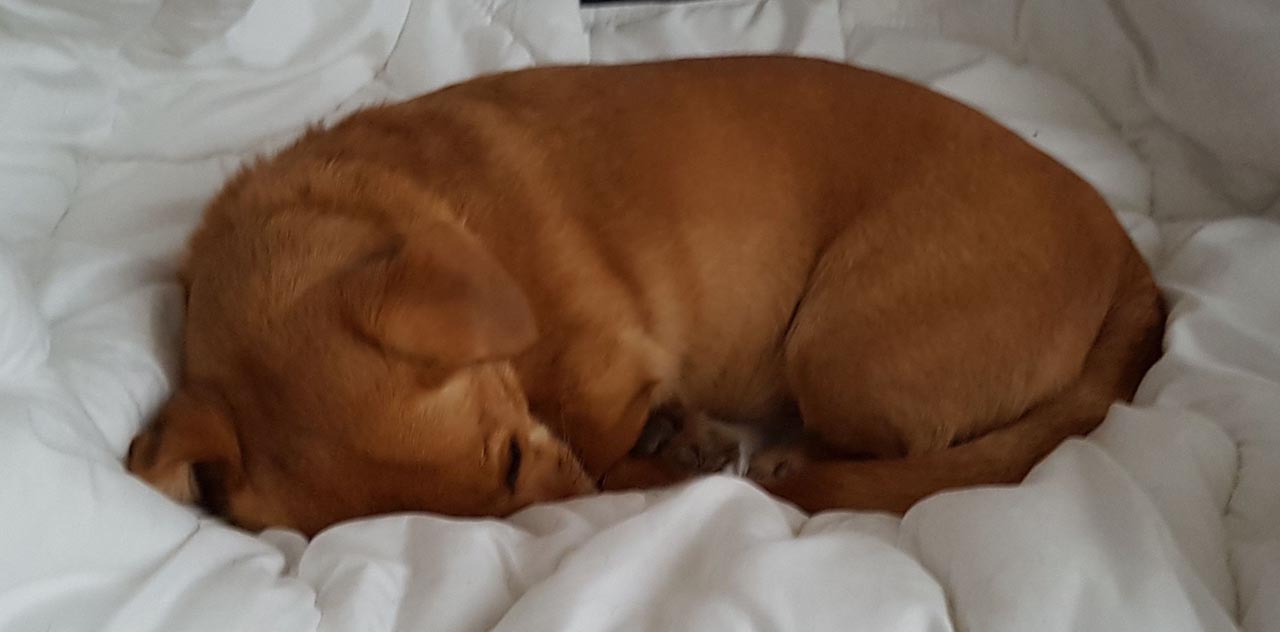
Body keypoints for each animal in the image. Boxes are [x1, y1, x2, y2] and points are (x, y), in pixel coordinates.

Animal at [125, 56, 1165, 535]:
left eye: (509, 459)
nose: (569, 506)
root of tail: (1129, 266)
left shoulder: (599, 372)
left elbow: (604, 437)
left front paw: (658, 455)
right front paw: (674, 442)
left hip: (838, 351)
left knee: (900, 448)